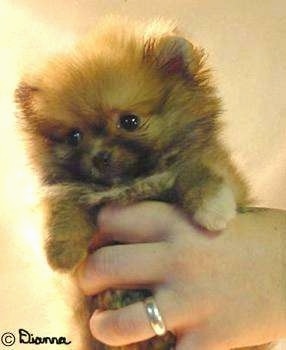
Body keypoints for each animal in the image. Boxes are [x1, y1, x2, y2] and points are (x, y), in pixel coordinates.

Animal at [15, 16, 268, 350]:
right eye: (74, 136)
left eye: (130, 121)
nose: (99, 157)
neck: (132, 183)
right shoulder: (70, 190)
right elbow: (65, 205)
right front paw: (61, 251)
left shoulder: (210, 167)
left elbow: (193, 170)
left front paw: (212, 208)